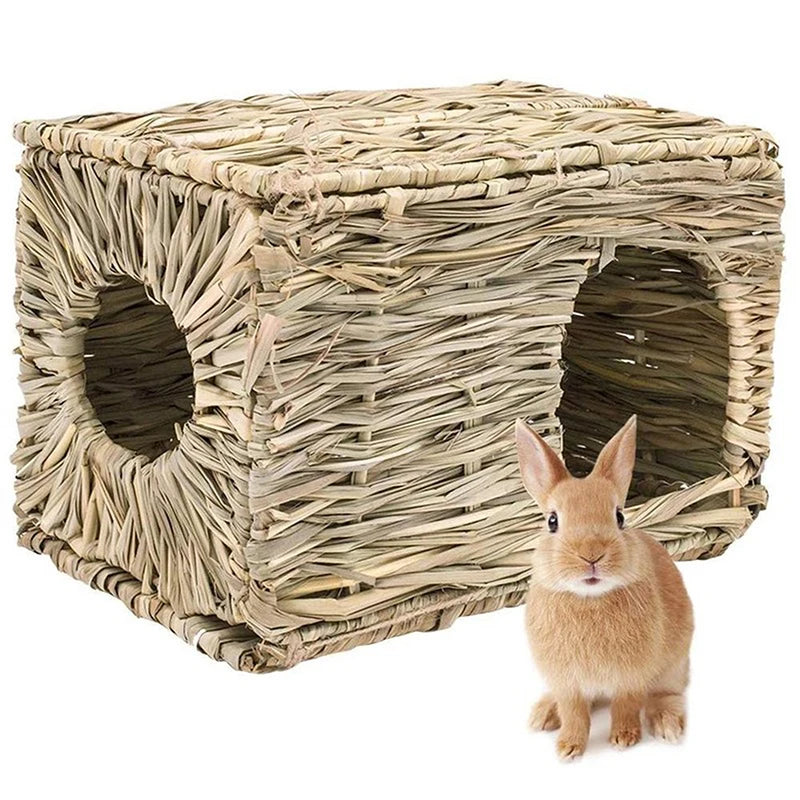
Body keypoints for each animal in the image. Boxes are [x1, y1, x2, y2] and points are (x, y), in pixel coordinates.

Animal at [515, 415, 693, 760]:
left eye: (620, 517)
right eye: (552, 521)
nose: (591, 554)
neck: (588, 598)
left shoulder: (631, 677)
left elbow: (626, 705)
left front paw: (624, 738)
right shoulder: (567, 682)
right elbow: (574, 712)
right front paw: (568, 748)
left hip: (673, 665)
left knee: (666, 693)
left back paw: (666, 724)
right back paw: (544, 714)